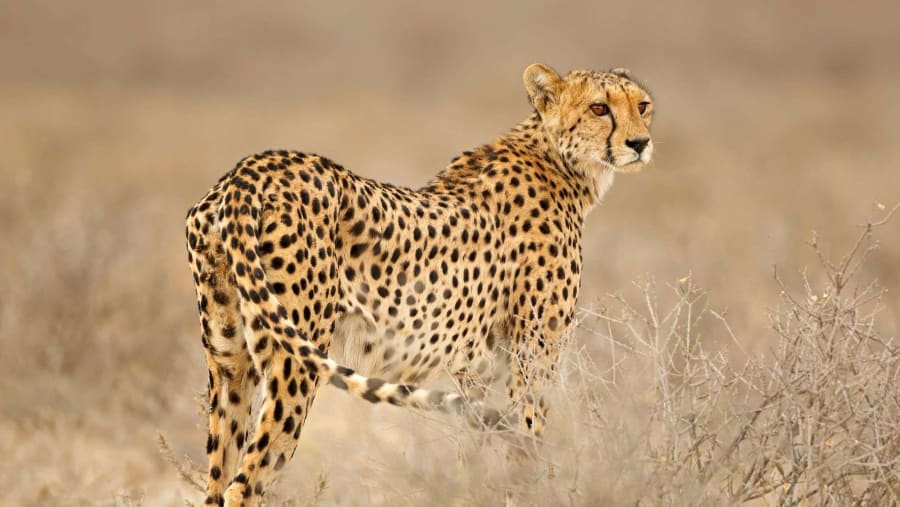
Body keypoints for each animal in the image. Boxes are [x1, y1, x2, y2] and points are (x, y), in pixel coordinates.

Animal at [184, 63, 654, 506]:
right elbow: (530, 440)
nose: (640, 143)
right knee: (245, 485)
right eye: (599, 108)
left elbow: (477, 449)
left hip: (229, 362)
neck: (562, 161)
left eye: (643, 105)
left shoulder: (476, 367)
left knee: (216, 482)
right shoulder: (531, 356)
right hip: (296, 361)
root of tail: (247, 171)